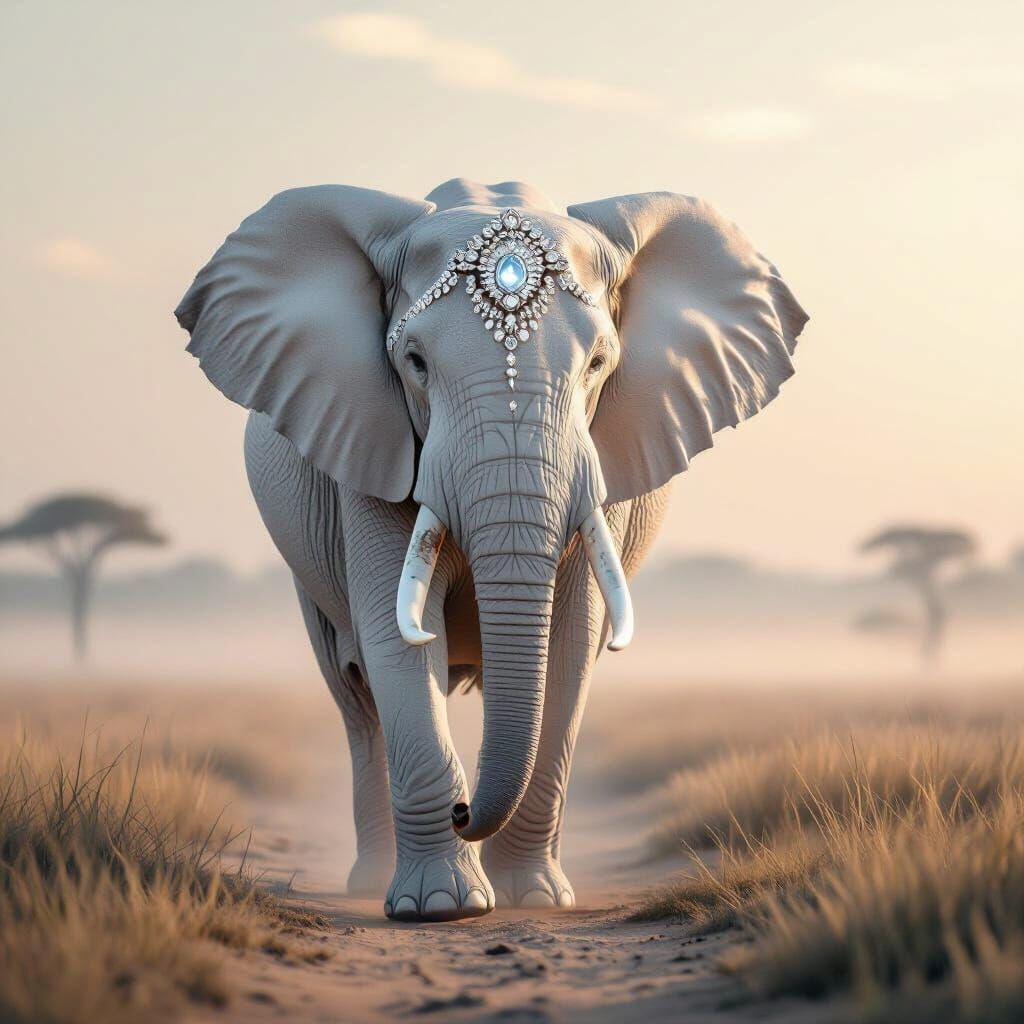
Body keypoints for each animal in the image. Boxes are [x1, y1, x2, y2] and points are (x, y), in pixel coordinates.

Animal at [174, 178, 807, 922]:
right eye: (415, 363)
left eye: (599, 365)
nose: (463, 809)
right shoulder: (370, 444)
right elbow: (395, 640)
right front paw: (439, 906)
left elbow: (571, 644)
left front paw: (534, 899)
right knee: (356, 695)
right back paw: (371, 881)